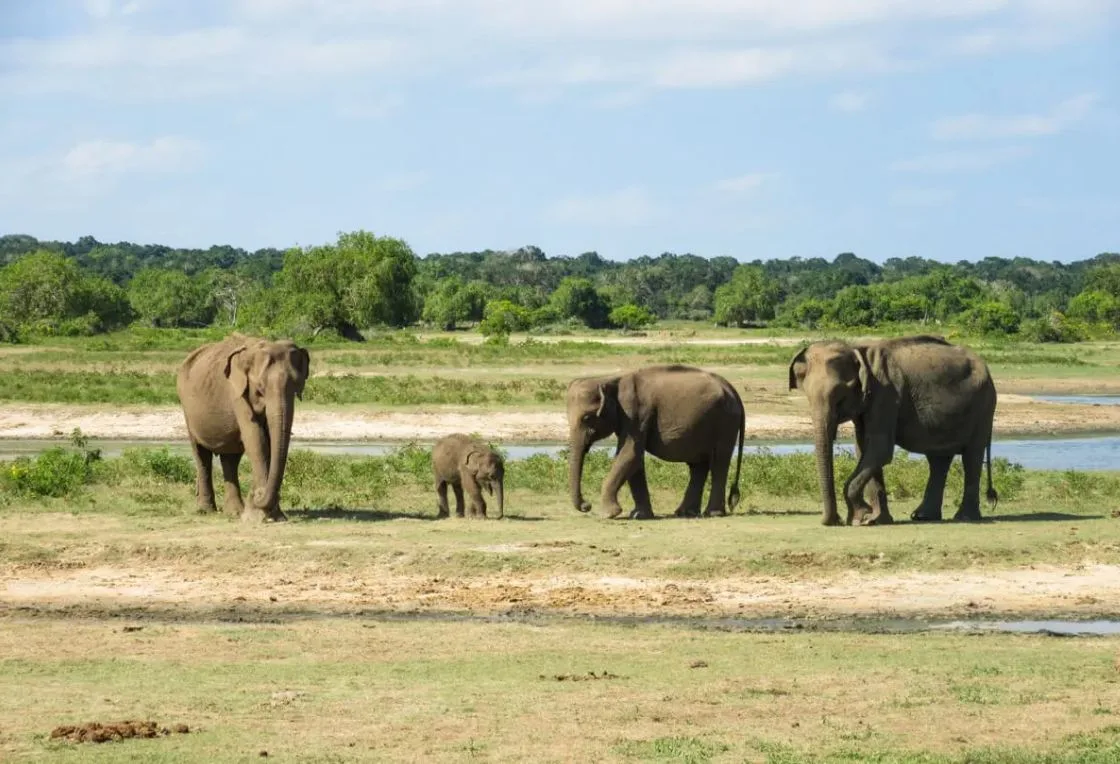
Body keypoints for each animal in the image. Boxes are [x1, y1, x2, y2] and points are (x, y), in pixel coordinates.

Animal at [178, 333, 311, 524]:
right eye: (260, 388)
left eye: (296, 385)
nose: (256, 494)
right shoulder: (236, 392)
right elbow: (256, 439)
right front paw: (260, 515)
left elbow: (268, 442)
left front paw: (273, 515)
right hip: (187, 411)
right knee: (201, 455)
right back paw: (206, 510)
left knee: (230, 459)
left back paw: (234, 512)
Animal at [568, 362, 743, 517]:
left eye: (586, 418)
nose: (586, 506)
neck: (609, 380)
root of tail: (731, 389)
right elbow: (634, 459)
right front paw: (639, 515)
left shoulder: (635, 414)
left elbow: (629, 454)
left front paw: (607, 515)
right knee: (699, 465)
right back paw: (685, 513)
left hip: (726, 422)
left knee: (719, 461)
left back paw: (712, 513)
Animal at [788, 333, 999, 524]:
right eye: (807, 397)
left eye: (840, 398)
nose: (835, 521)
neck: (857, 350)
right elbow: (865, 450)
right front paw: (874, 519)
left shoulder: (886, 394)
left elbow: (878, 450)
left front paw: (862, 517)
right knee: (938, 460)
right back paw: (923, 516)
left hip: (983, 407)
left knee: (971, 456)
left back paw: (964, 517)